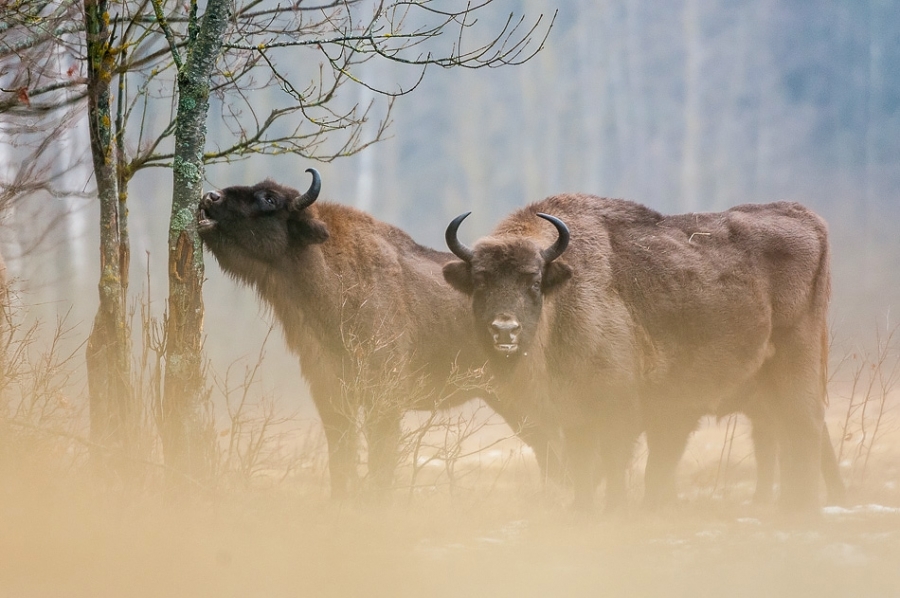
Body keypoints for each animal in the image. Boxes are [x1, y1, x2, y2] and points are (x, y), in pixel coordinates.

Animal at [198, 169, 560, 499]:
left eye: (269, 199)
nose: (209, 198)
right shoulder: (330, 394)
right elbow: (341, 457)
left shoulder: (384, 400)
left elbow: (380, 459)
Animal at [443, 193, 844, 512]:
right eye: (480, 281)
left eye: (534, 281)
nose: (505, 329)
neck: (564, 298)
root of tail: (807, 217)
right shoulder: (574, 416)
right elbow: (582, 465)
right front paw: (582, 511)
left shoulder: (618, 408)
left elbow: (613, 463)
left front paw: (616, 510)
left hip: (797, 370)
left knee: (804, 428)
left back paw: (802, 507)